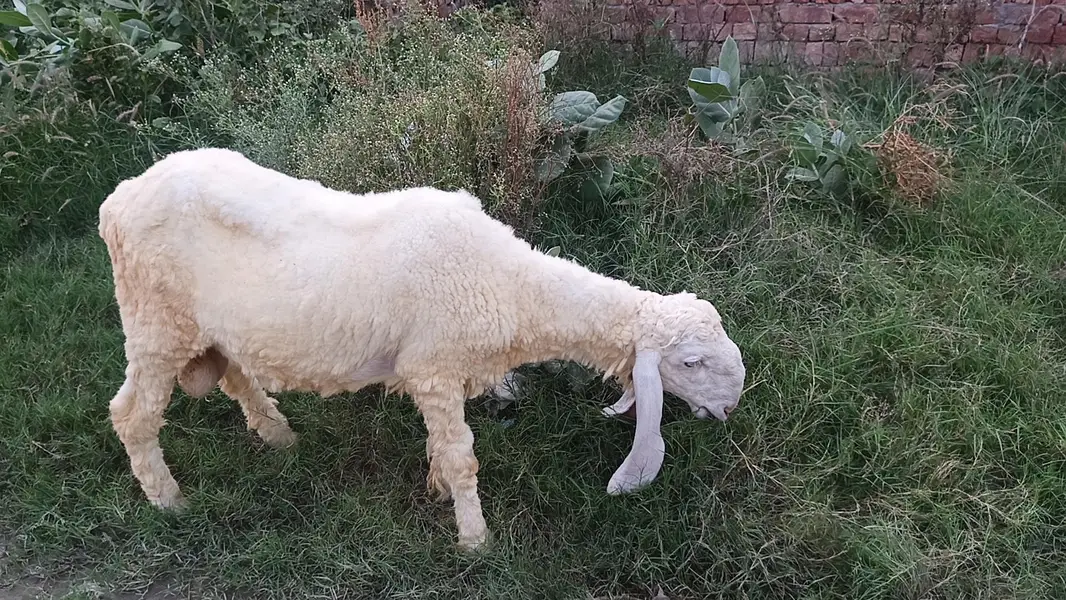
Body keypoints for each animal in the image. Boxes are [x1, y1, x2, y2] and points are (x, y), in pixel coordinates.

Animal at [97, 147, 747, 551]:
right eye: (689, 362)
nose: (731, 406)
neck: (507, 282)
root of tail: (117, 199)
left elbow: (441, 449)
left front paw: (438, 489)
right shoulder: (434, 367)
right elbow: (462, 457)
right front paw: (475, 540)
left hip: (213, 326)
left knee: (236, 375)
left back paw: (280, 438)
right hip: (155, 321)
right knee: (132, 415)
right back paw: (169, 501)